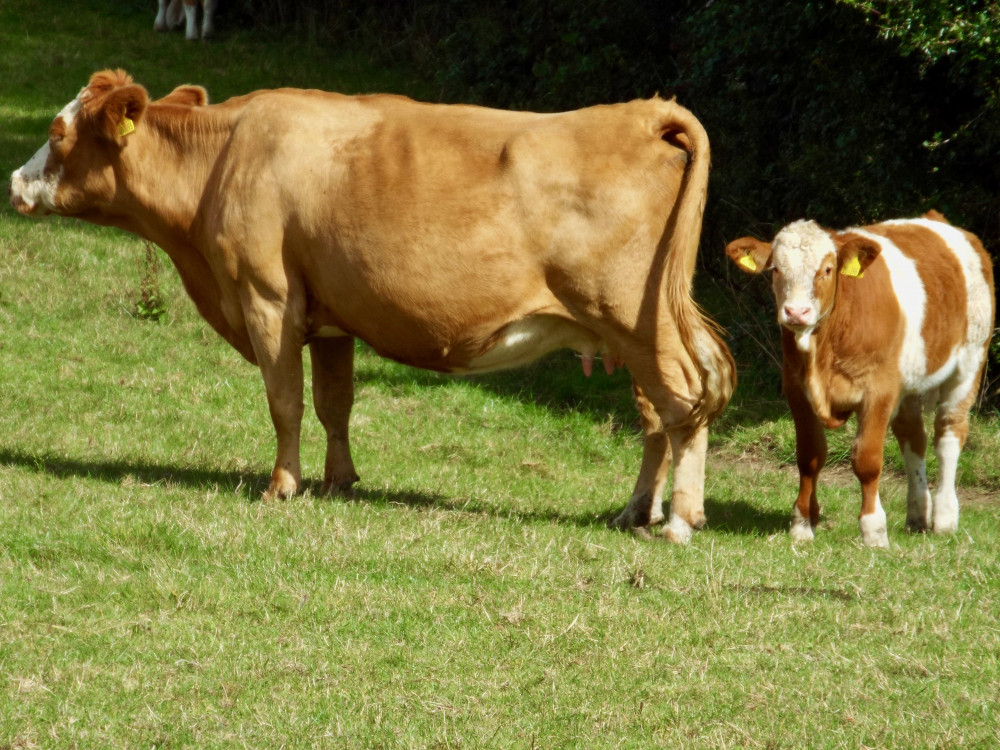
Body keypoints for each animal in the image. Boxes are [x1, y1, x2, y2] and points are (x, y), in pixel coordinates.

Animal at [9, 72, 736, 540]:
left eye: (58, 131)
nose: (15, 181)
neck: (221, 159)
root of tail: (639, 112)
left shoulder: (267, 299)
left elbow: (285, 401)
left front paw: (282, 485)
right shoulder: (331, 316)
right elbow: (334, 403)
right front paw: (339, 481)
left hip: (634, 318)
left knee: (683, 405)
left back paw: (679, 520)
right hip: (638, 327)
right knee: (660, 416)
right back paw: (635, 512)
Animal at [728, 214, 992, 548]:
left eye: (827, 270)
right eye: (776, 269)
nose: (796, 312)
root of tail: (937, 219)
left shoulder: (878, 390)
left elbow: (866, 459)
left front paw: (873, 529)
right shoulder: (795, 388)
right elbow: (809, 456)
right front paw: (802, 524)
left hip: (969, 362)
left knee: (948, 434)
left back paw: (944, 518)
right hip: (907, 383)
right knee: (913, 438)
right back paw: (917, 514)